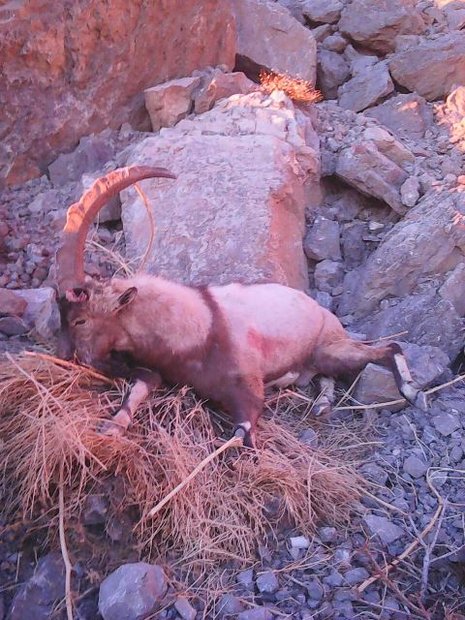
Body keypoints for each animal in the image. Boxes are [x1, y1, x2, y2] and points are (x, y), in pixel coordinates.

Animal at [55, 165, 428, 446]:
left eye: (80, 321)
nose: (69, 358)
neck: (199, 327)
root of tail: (324, 313)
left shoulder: (248, 386)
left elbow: (241, 434)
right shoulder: (155, 369)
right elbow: (138, 391)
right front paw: (112, 426)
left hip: (329, 348)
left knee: (388, 349)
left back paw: (412, 392)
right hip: (320, 360)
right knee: (326, 377)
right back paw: (322, 405)